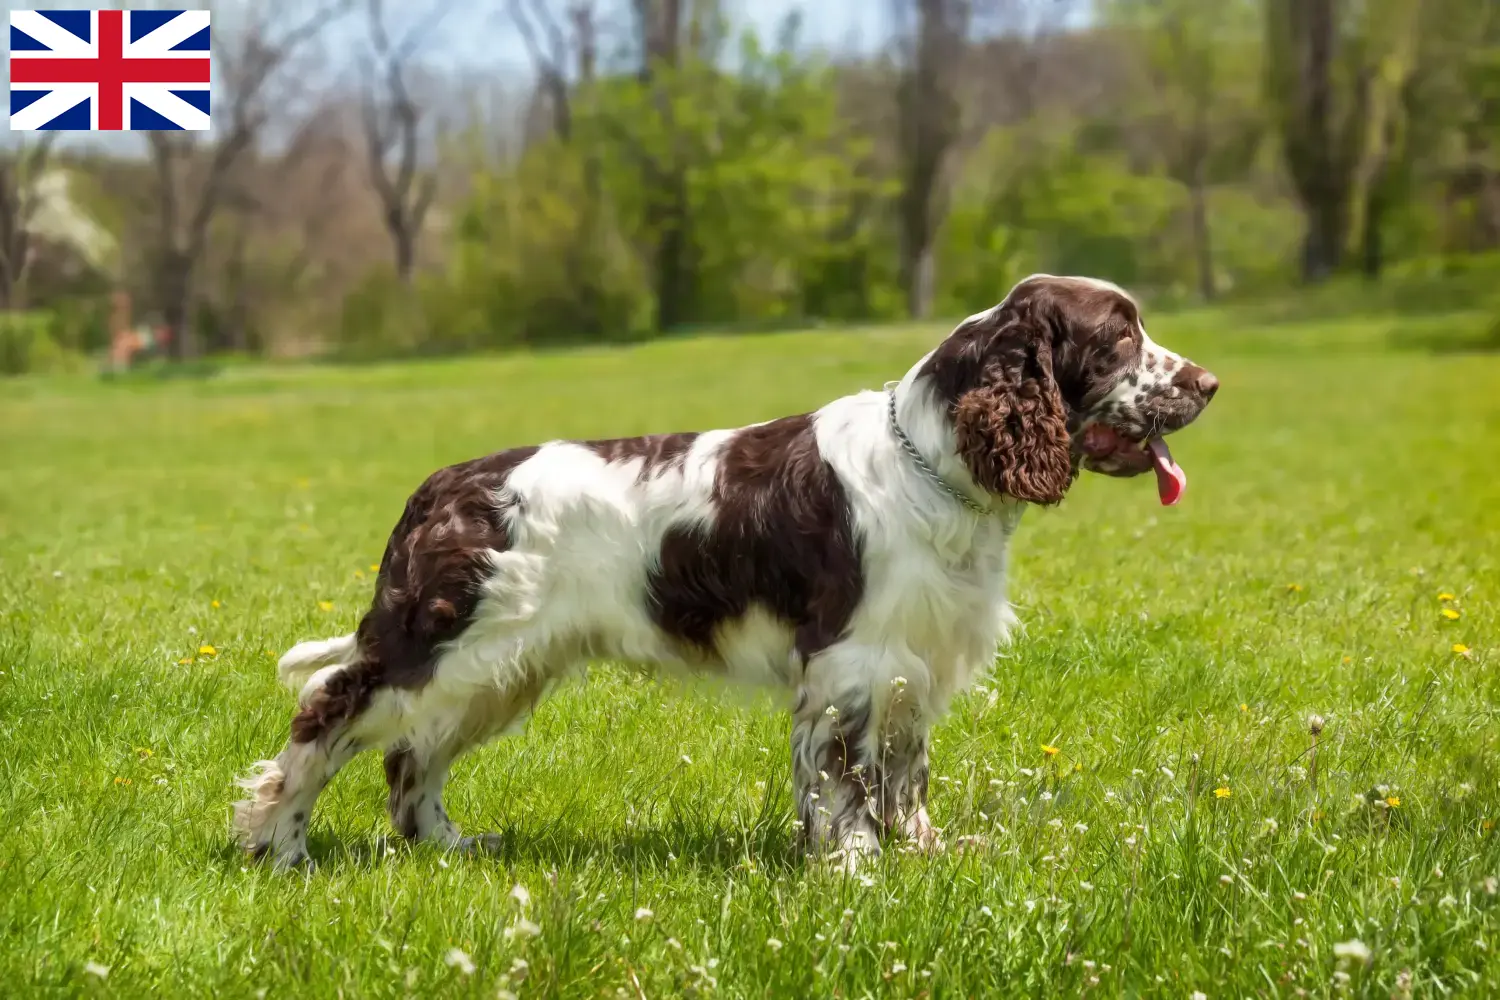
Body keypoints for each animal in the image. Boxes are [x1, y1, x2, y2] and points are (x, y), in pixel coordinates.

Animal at [234, 274, 1218, 869]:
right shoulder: (850, 663)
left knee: (414, 756)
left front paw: (923, 853)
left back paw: (446, 846)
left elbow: (904, 775)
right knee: (328, 705)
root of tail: (441, 486)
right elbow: (844, 781)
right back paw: (279, 844)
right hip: (442, 642)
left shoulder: (911, 665)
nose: (1208, 384)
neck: (931, 461)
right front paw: (857, 870)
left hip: (501, 666)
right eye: (1119, 336)